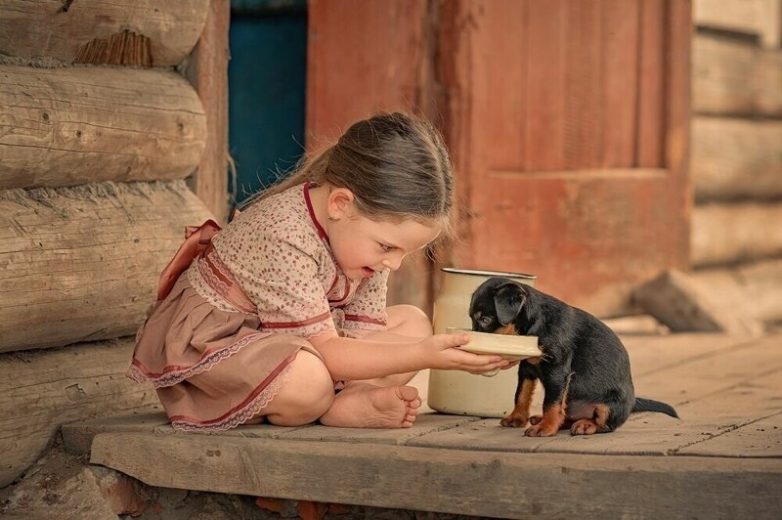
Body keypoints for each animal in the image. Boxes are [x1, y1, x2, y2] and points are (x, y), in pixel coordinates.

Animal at [472, 278, 680, 436]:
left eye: (485, 319)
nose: (473, 345)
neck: (533, 326)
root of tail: (633, 401)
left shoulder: (557, 370)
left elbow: (551, 403)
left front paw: (545, 428)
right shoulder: (527, 368)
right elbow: (521, 394)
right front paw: (517, 418)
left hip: (609, 405)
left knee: (605, 425)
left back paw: (585, 425)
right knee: (566, 415)